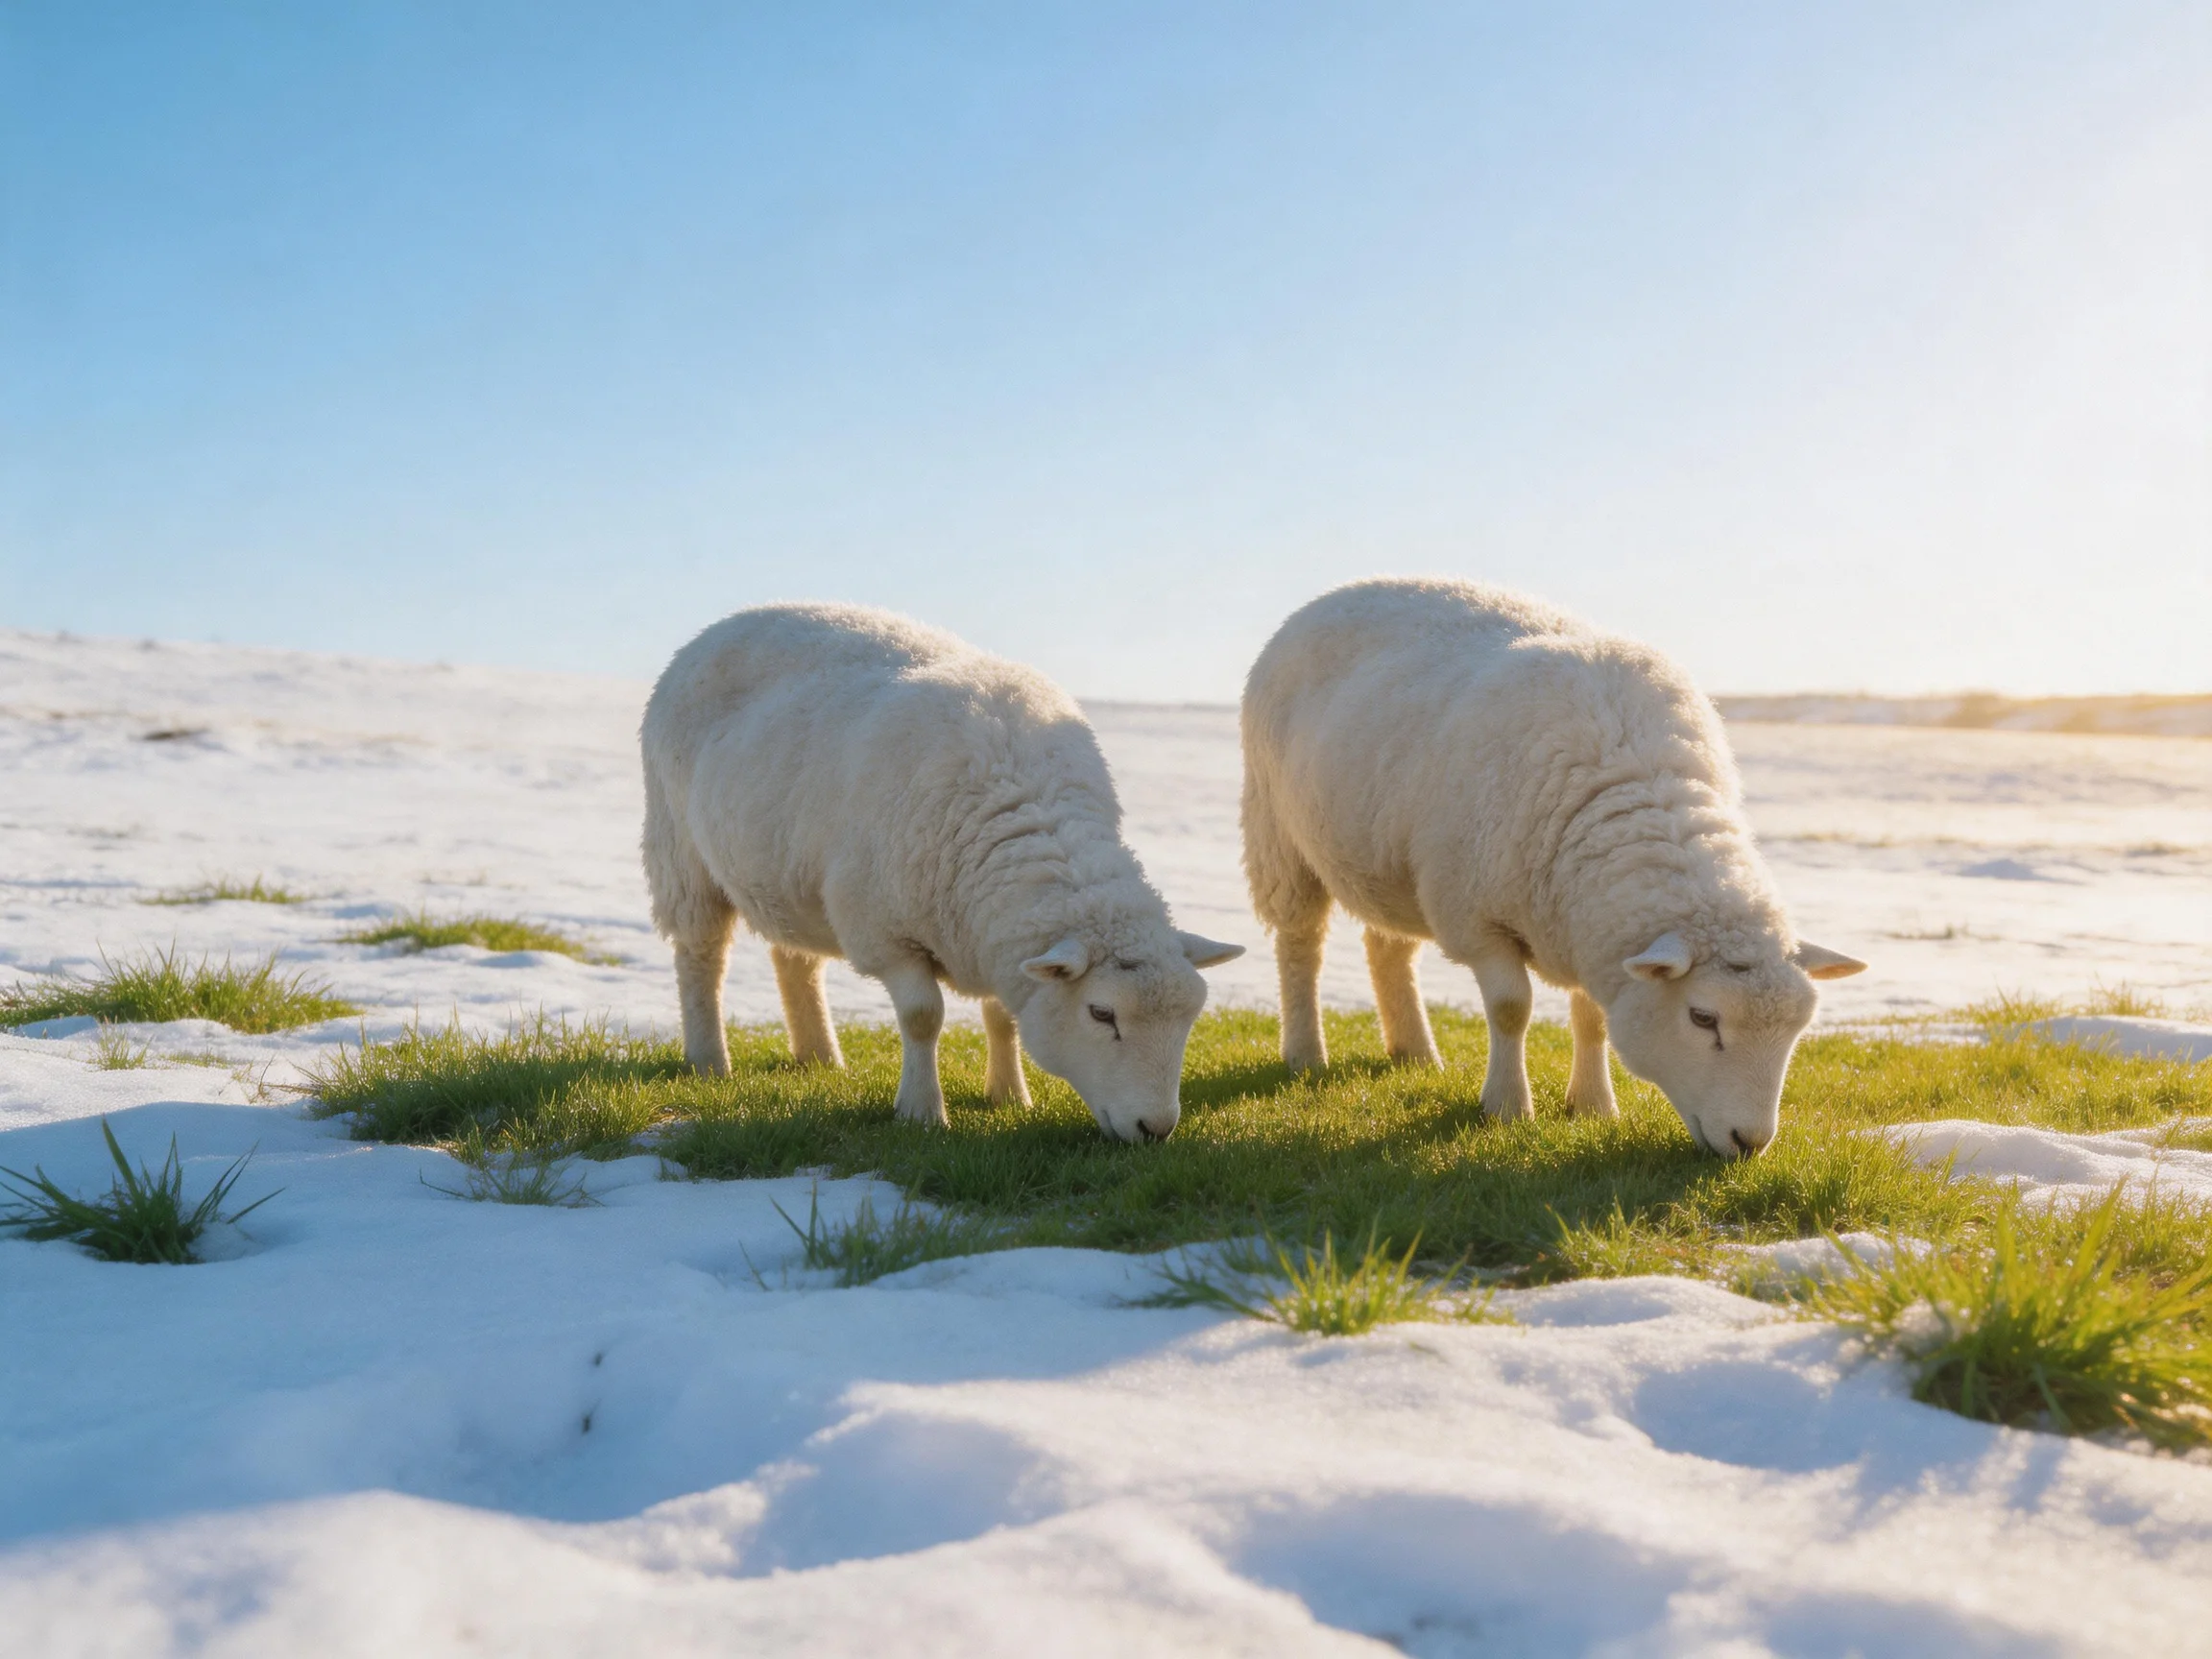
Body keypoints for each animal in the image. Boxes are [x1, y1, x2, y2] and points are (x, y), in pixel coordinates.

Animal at [641, 602, 1243, 1143]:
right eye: (1101, 1013)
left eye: (1190, 1017)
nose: (1156, 1129)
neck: (1023, 807)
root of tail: (723, 624)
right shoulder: (884, 930)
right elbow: (922, 1016)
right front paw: (922, 1111)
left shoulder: (991, 935)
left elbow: (1003, 1016)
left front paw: (1010, 1096)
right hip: (679, 852)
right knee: (701, 958)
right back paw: (710, 1061)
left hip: (785, 875)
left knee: (796, 961)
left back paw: (820, 1057)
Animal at [1241, 577, 1864, 1158]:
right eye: (1703, 1018)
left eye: (1798, 1028)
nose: (1750, 1142)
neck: (1632, 785)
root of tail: (1335, 593)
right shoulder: (1474, 915)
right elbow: (1511, 1009)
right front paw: (1507, 1107)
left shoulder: (1589, 928)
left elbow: (1592, 1018)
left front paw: (1592, 1105)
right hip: (1277, 832)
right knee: (1300, 945)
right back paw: (1306, 1054)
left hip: (1389, 862)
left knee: (1388, 948)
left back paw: (1415, 1052)